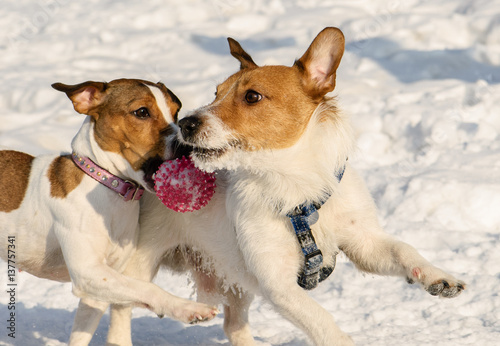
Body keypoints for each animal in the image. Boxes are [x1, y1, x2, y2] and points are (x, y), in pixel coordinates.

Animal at [0, 79, 219, 346]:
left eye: (176, 110)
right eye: (142, 112)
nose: (186, 145)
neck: (108, 186)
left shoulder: (100, 286)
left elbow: (85, 331)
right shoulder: (89, 273)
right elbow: (146, 288)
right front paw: (189, 309)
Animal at [107, 28, 466, 344]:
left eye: (252, 96)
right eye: (216, 92)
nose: (185, 124)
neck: (296, 184)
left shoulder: (364, 244)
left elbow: (403, 250)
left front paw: (437, 276)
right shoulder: (277, 283)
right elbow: (321, 319)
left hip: (233, 277)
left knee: (233, 324)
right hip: (140, 263)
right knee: (122, 306)